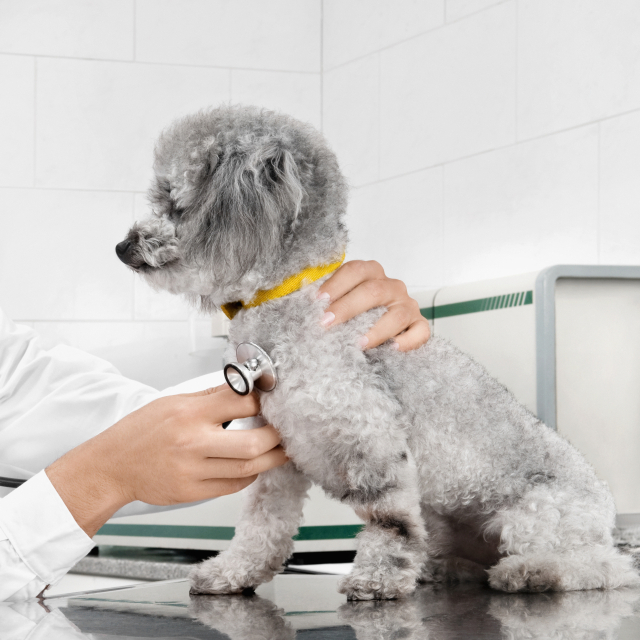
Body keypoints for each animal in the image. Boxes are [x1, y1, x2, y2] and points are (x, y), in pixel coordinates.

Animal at [117, 105, 636, 600]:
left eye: (172, 200)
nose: (122, 247)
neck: (294, 297)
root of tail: (610, 514)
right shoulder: (278, 457)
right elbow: (262, 525)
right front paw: (232, 572)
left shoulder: (370, 438)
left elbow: (390, 522)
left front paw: (378, 578)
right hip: (448, 522)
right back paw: (443, 570)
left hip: (537, 515)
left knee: (607, 568)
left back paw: (533, 572)